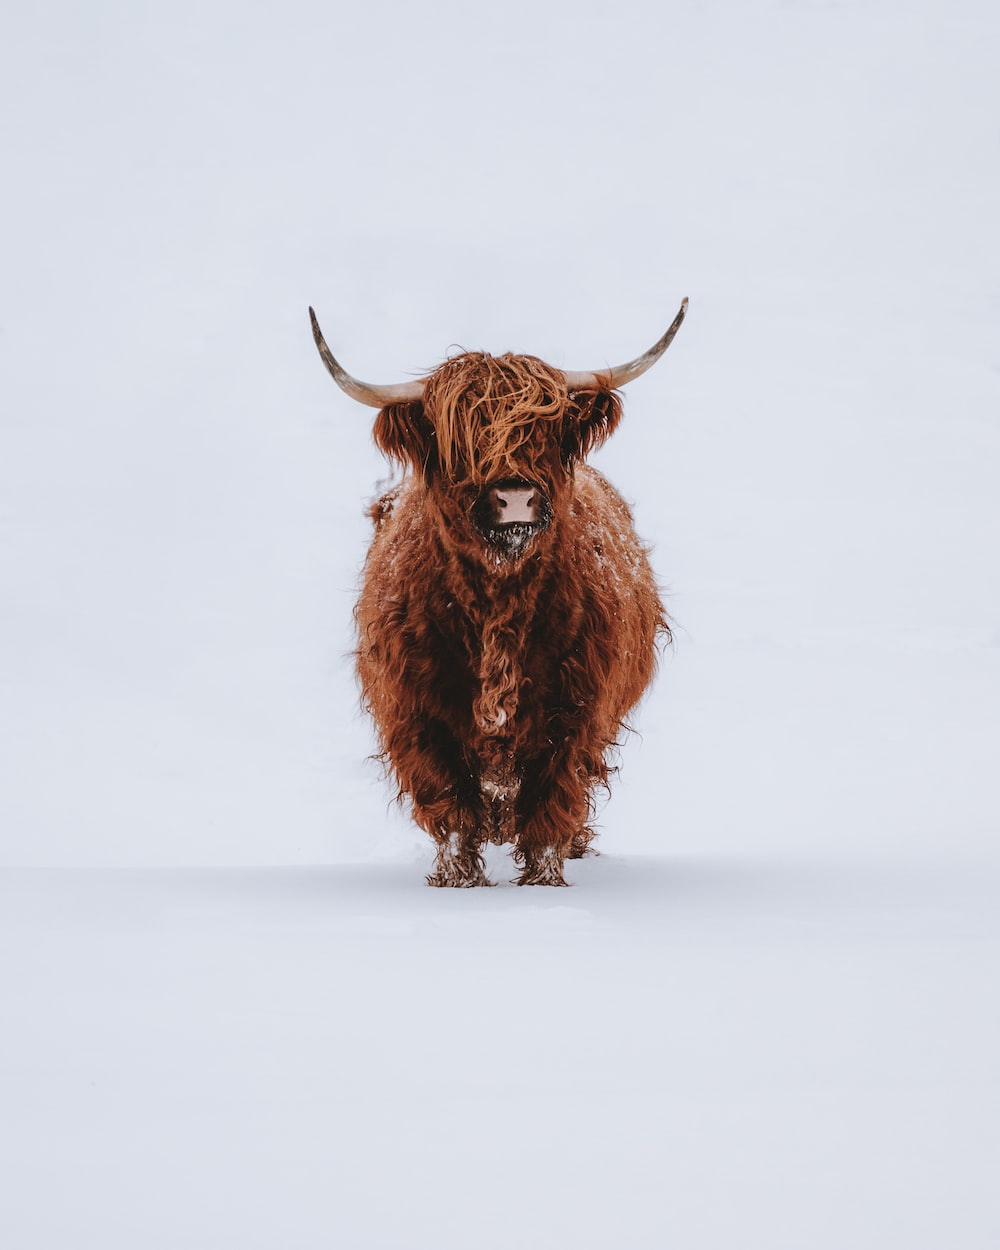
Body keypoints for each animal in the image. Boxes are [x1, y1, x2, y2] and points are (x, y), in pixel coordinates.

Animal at [309, 299, 687, 886]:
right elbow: (450, 805)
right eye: (459, 440)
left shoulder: (576, 713)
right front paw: (457, 880)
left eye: (545, 431)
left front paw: (544, 883)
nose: (515, 497)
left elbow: (553, 801)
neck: (498, 605)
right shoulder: (416, 714)